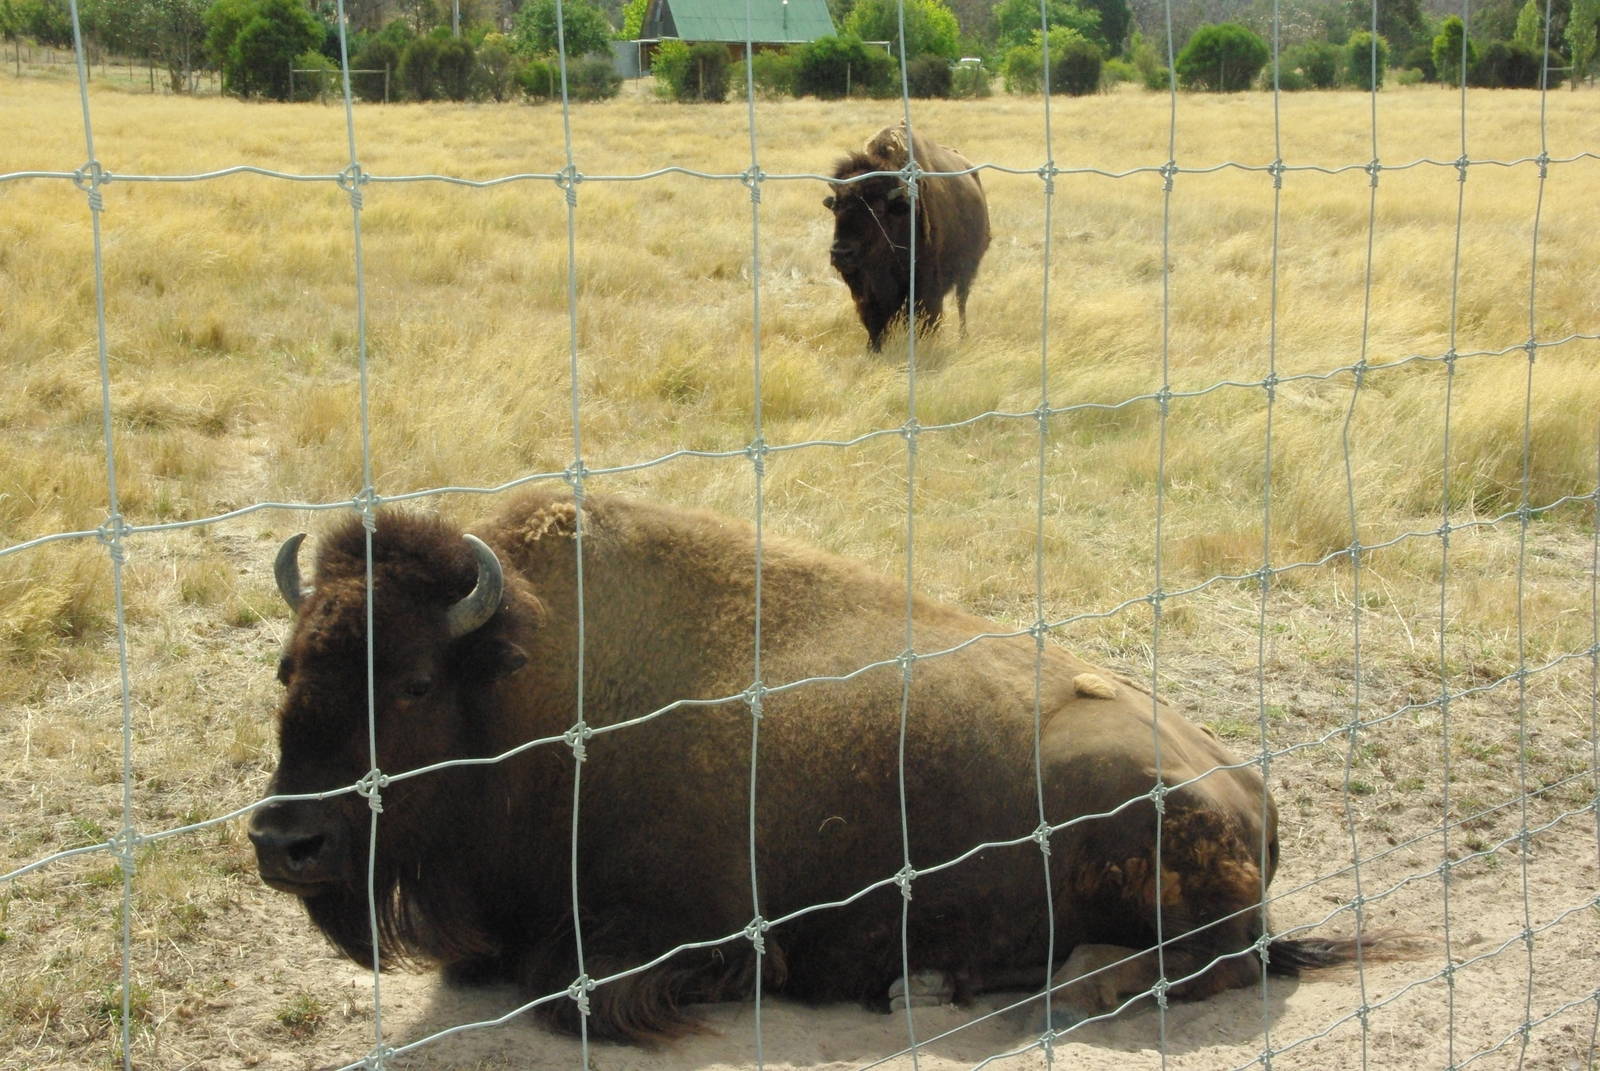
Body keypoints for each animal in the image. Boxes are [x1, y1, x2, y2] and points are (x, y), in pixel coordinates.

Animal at [251, 489, 1375, 1042]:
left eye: (412, 684)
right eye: (287, 667)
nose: (284, 839)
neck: (528, 685)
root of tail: (1248, 788)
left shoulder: (667, 937)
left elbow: (574, 992)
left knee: (1202, 963)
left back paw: (1033, 988)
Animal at [825, 123, 991, 351]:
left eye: (878, 209)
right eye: (835, 207)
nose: (841, 253)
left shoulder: (925, 285)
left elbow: (926, 318)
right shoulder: (867, 290)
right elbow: (874, 322)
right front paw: (873, 349)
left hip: (968, 270)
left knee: (961, 302)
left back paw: (963, 336)